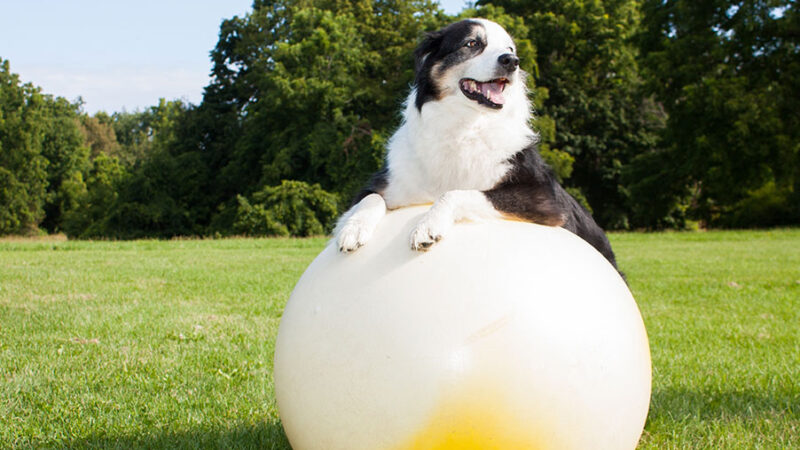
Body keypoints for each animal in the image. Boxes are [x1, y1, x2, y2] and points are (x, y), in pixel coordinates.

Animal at [332, 18, 620, 270]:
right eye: (472, 44)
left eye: (510, 49)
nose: (511, 62)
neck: (465, 126)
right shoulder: (386, 183)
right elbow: (370, 198)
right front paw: (353, 228)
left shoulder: (544, 199)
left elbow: (458, 192)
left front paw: (428, 225)